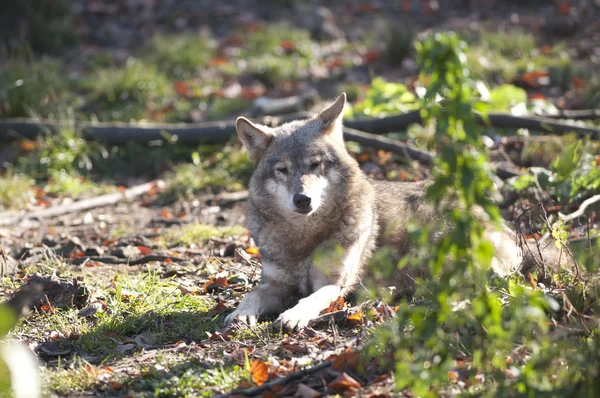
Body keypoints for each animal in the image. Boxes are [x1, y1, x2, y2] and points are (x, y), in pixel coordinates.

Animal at [225, 92, 548, 330]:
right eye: (282, 170)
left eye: (315, 165)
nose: (302, 199)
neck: (304, 238)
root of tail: (505, 227)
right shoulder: (275, 285)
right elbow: (251, 296)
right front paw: (240, 314)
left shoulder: (333, 283)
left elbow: (311, 299)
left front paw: (294, 314)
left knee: (490, 286)